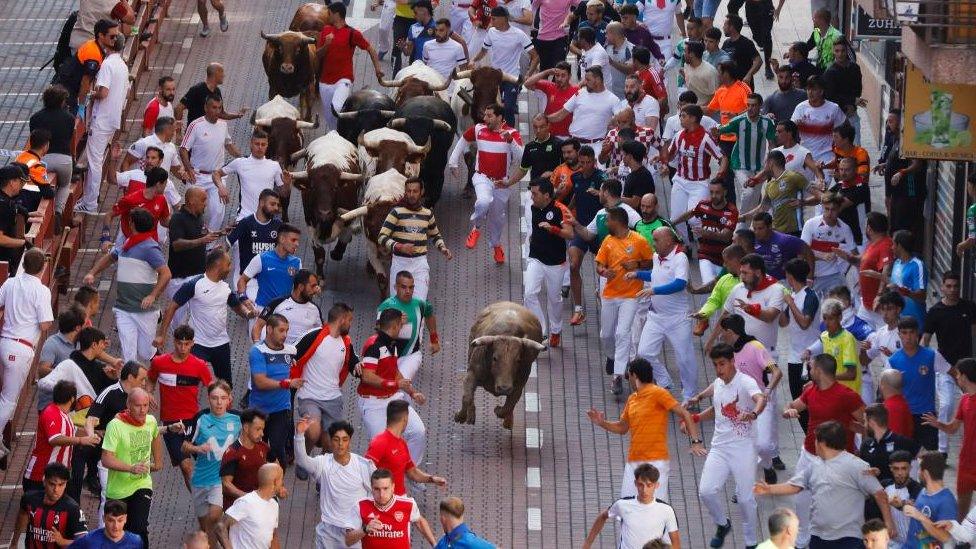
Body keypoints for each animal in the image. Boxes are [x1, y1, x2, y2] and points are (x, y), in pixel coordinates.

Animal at [454, 302, 544, 430]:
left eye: (518, 360)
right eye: (495, 358)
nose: (504, 388)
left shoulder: (519, 385)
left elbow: (509, 405)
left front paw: (499, 411)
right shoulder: (471, 373)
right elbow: (467, 397)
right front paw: (462, 416)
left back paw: (508, 421)